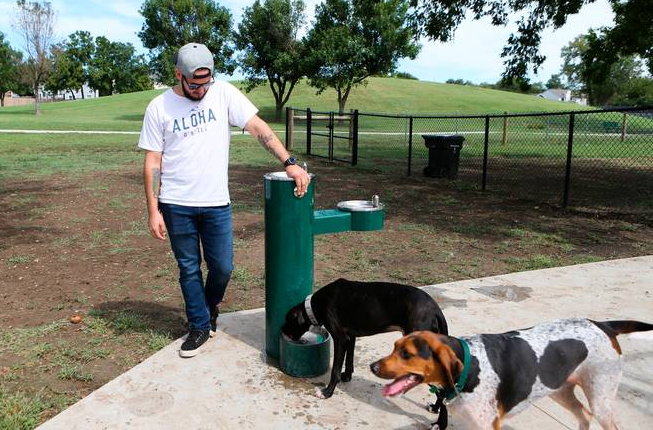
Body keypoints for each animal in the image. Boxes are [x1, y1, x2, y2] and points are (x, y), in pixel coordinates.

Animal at [370, 318, 648, 428]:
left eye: (406, 354)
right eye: (394, 346)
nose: (372, 367)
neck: (470, 366)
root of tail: (604, 325)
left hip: (601, 400)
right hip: (561, 390)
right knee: (584, 417)